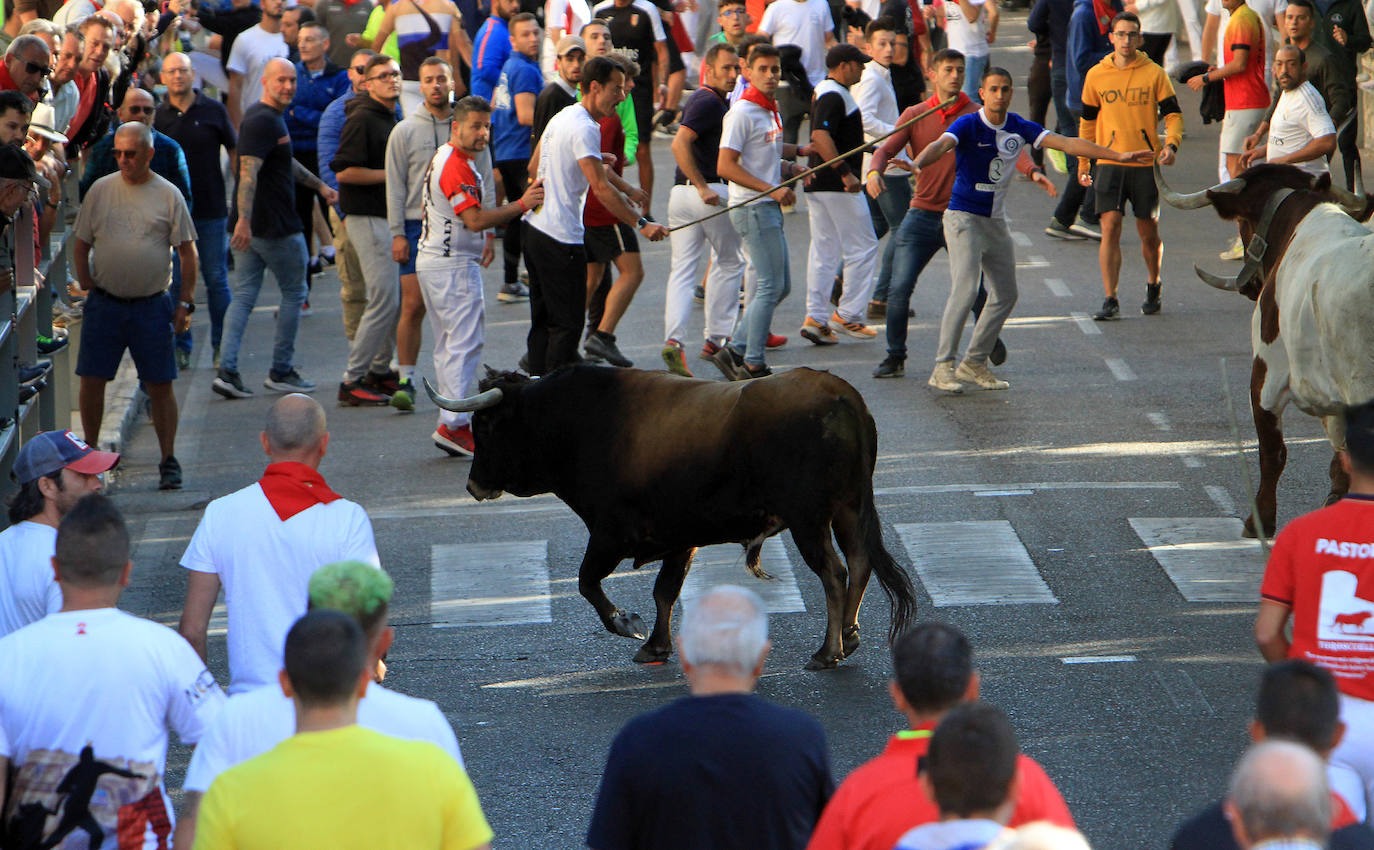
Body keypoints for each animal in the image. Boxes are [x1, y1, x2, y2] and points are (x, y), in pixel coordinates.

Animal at [423, 365, 917, 672]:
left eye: (487, 426)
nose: (473, 485)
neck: (578, 423)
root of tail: (840, 394)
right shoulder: (681, 538)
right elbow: (665, 591)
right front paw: (656, 645)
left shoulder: (609, 534)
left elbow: (587, 582)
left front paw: (626, 624)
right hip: (849, 509)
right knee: (859, 563)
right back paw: (849, 635)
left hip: (809, 519)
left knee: (834, 573)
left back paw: (828, 650)